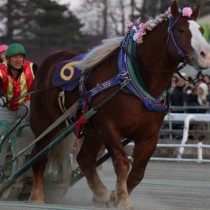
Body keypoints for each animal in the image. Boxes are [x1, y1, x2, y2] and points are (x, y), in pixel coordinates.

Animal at [28, 1, 210, 208]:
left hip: (91, 131)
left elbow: (138, 171)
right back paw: (36, 196)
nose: (205, 55)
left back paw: (100, 193)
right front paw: (122, 199)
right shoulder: (108, 127)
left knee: (85, 159)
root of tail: (48, 61)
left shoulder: (149, 134)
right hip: (45, 123)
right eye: (180, 29)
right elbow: (122, 163)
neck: (134, 80)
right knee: (38, 156)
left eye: (201, 30)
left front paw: (114, 197)